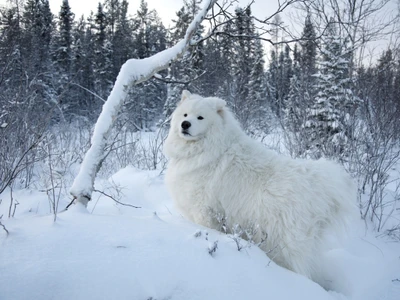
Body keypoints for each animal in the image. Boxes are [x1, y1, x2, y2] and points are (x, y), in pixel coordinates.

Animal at [163, 90, 356, 282]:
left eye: (200, 117)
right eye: (185, 115)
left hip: (281, 241)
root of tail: (315, 182)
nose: (185, 124)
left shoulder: (204, 210)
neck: (206, 149)